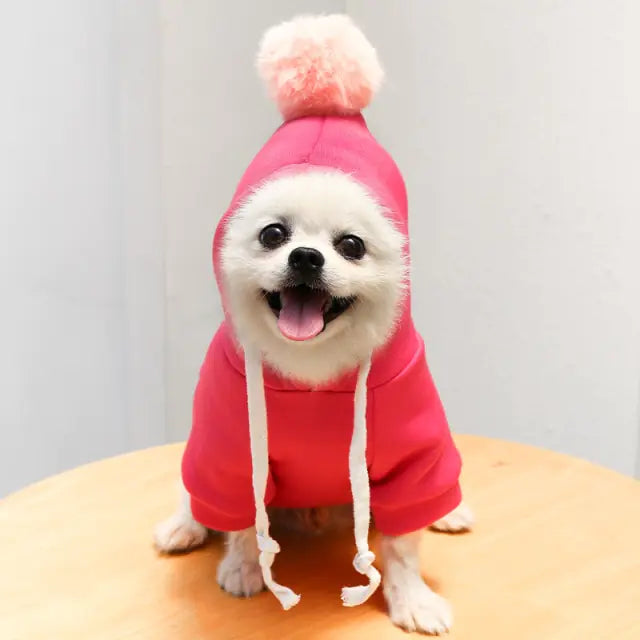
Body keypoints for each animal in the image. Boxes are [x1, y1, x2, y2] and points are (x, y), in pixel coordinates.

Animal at [154, 15, 476, 636]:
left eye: (351, 245)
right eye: (273, 234)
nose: (306, 257)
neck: (311, 377)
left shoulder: (411, 456)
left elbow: (402, 543)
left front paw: (411, 598)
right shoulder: (228, 448)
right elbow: (241, 519)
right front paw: (243, 567)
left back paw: (453, 511)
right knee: (192, 492)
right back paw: (184, 525)